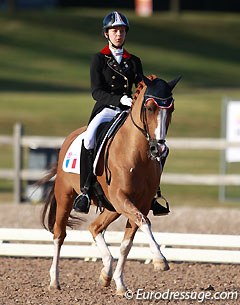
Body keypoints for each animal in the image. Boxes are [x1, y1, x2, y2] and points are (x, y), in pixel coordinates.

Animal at [40, 73, 180, 294]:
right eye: (150, 108)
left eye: (171, 109)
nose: (159, 149)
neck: (137, 153)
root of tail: (70, 137)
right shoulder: (122, 197)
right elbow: (144, 222)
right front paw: (160, 260)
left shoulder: (139, 203)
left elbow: (127, 244)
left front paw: (120, 284)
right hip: (66, 196)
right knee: (59, 235)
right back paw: (54, 280)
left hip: (112, 207)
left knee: (95, 227)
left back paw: (105, 272)